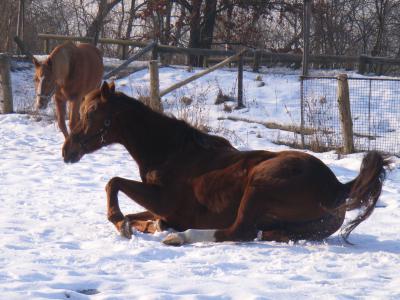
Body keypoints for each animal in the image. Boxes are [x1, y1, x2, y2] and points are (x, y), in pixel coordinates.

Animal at [61, 82, 388, 246]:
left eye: (91, 111)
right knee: (263, 234)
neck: (171, 152)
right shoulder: (159, 206)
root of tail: (338, 186)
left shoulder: (165, 201)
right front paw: (136, 223)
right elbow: (139, 214)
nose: (67, 151)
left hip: (258, 187)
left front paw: (121, 223)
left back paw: (181, 237)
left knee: (236, 232)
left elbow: (113, 182)